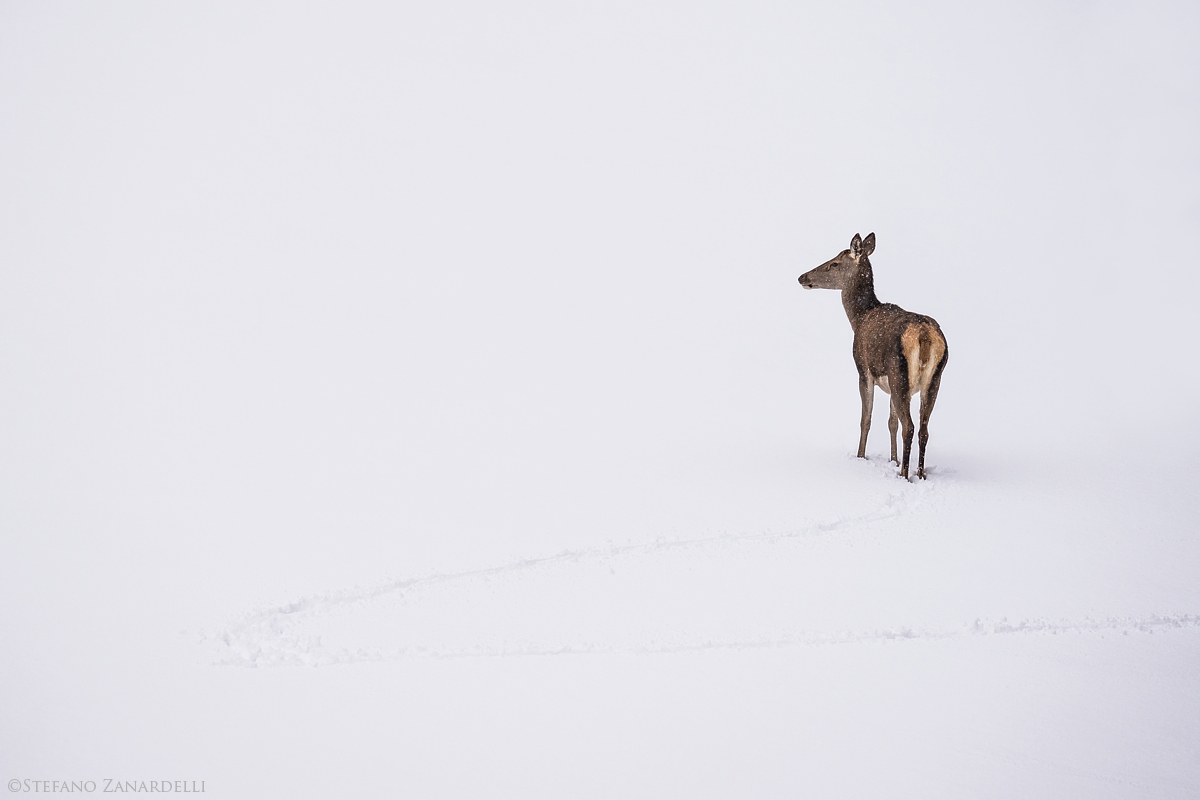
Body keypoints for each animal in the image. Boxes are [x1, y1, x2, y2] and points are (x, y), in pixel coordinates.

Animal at [798, 233, 948, 480]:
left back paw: (904, 475)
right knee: (923, 429)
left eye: (834, 263)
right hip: (934, 379)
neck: (858, 318)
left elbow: (865, 419)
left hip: (898, 373)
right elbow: (891, 422)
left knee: (910, 426)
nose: (802, 277)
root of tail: (925, 337)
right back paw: (920, 474)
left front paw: (861, 457)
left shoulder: (863, 370)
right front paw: (893, 460)